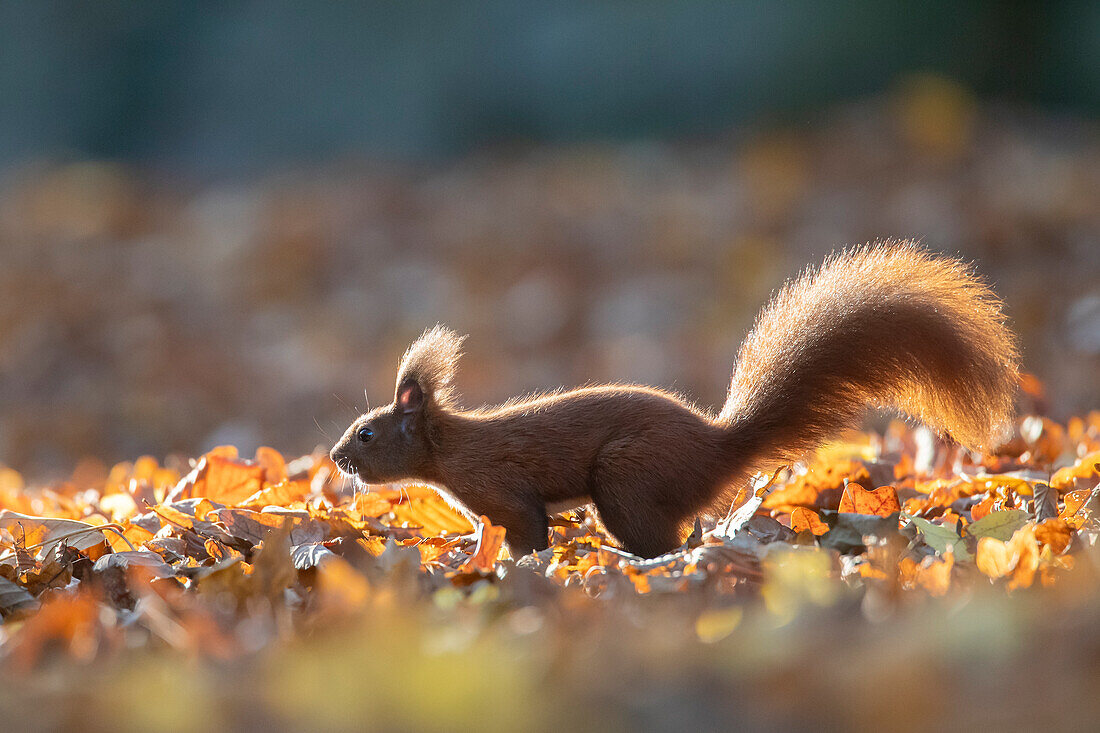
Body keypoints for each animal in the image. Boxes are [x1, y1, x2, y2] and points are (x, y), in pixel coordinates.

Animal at [330, 242, 1016, 556]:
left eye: (367, 432)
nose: (337, 458)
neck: (450, 447)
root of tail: (716, 449)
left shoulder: (498, 485)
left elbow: (526, 530)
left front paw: (509, 561)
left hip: (626, 478)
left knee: (662, 538)